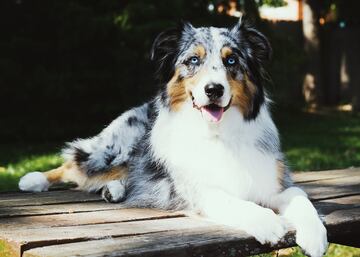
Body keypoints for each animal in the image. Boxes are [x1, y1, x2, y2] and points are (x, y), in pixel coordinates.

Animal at [19, 19, 330, 256]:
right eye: (193, 60)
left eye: (232, 60)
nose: (214, 89)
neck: (218, 133)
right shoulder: (196, 190)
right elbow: (233, 200)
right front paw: (267, 221)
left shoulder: (275, 184)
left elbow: (301, 198)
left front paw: (316, 236)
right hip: (113, 151)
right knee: (75, 163)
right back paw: (34, 179)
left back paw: (114, 190)